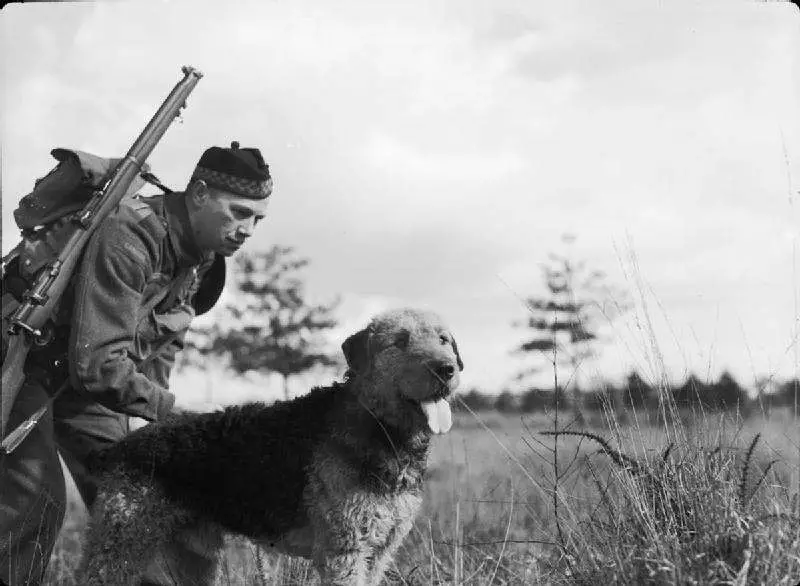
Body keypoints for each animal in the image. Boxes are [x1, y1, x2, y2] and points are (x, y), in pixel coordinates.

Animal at [76, 308, 462, 580]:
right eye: (399, 341)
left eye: (444, 339)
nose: (447, 369)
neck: (382, 430)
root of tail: (119, 448)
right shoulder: (345, 552)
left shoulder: (379, 551)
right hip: (121, 544)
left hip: (192, 556)